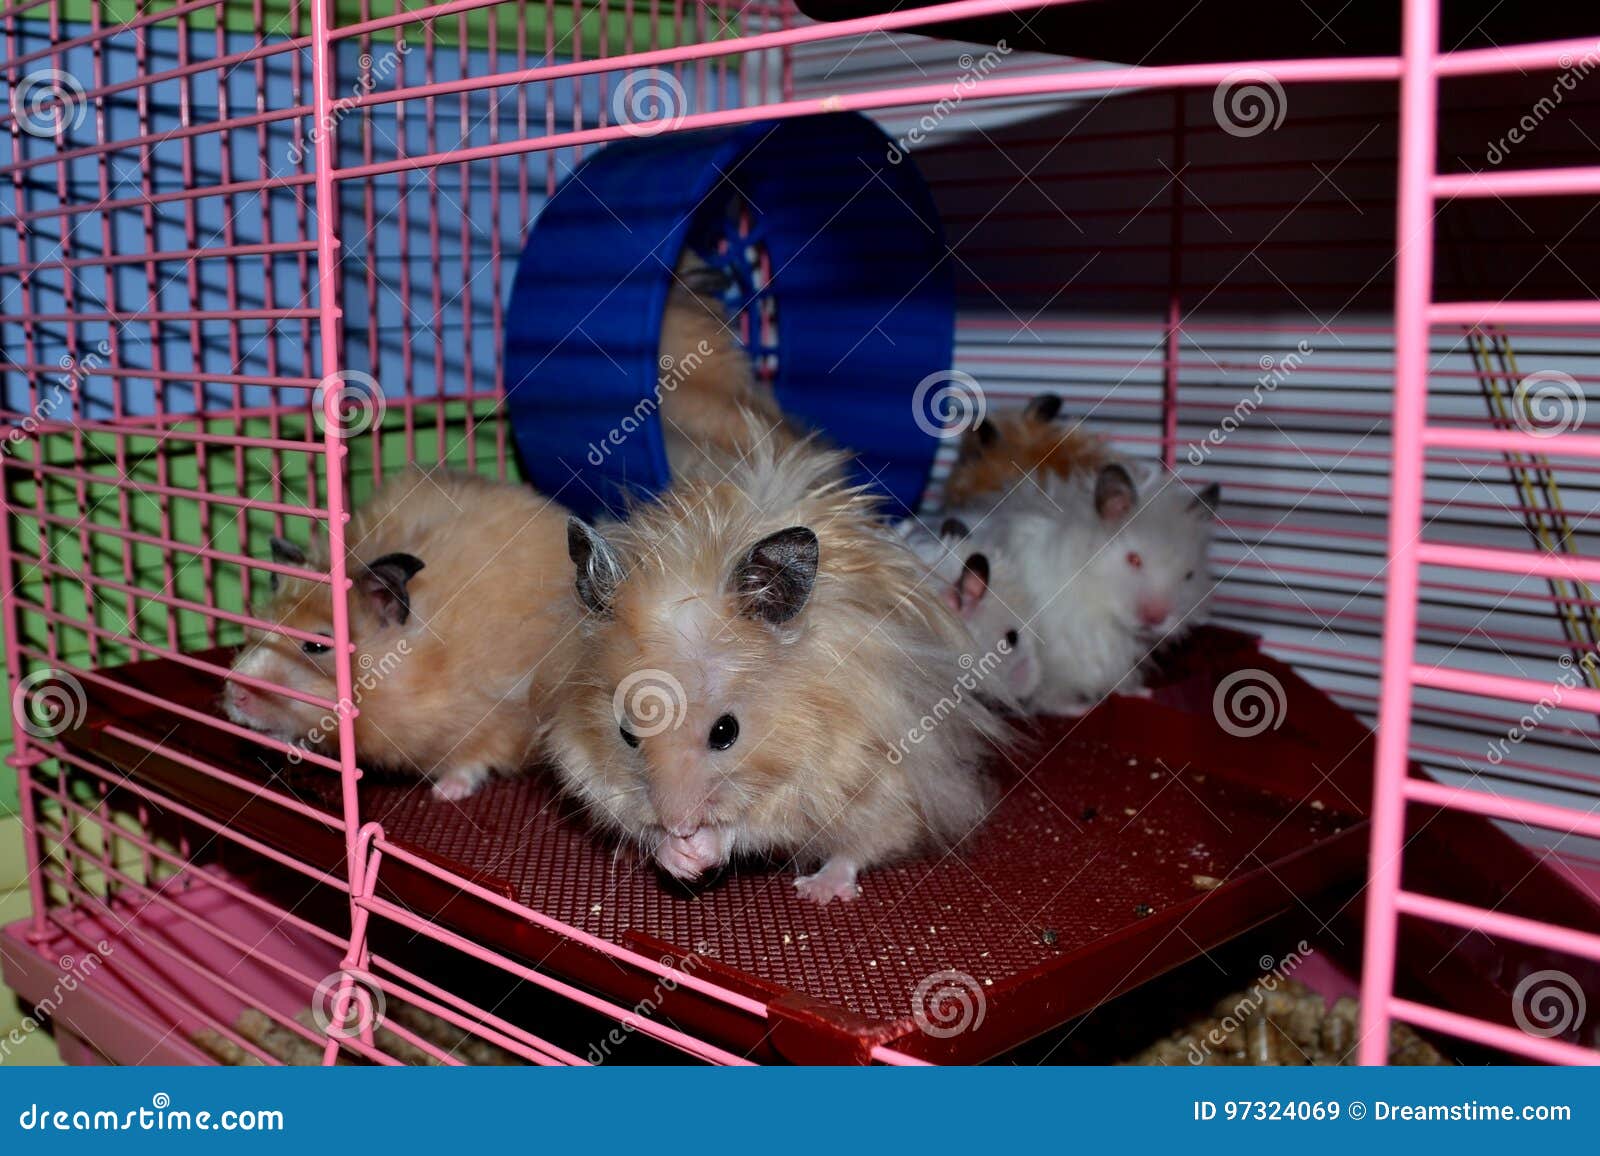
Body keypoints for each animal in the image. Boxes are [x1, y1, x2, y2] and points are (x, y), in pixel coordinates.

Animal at [225, 469, 580, 800]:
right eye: (255, 626)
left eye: (315, 645)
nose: (235, 696)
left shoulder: (498, 718)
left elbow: (474, 758)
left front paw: (445, 793)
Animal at [548, 426, 1006, 903]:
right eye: (625, 734)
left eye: (725, 732)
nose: (680, 823)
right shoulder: (585, 765)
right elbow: (629, 812)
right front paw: (675, 854)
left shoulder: (827, 770)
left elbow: (753, 822)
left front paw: (700, 849)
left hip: (890, 798)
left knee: (861, 847)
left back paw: (820, 889)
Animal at [985, 462, 1220, 713]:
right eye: (1133, 559)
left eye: (1189, 575)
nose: (1155, 618)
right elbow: (1048, 694)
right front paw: (1082, 707)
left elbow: (1120, 679)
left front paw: (1143, 692)